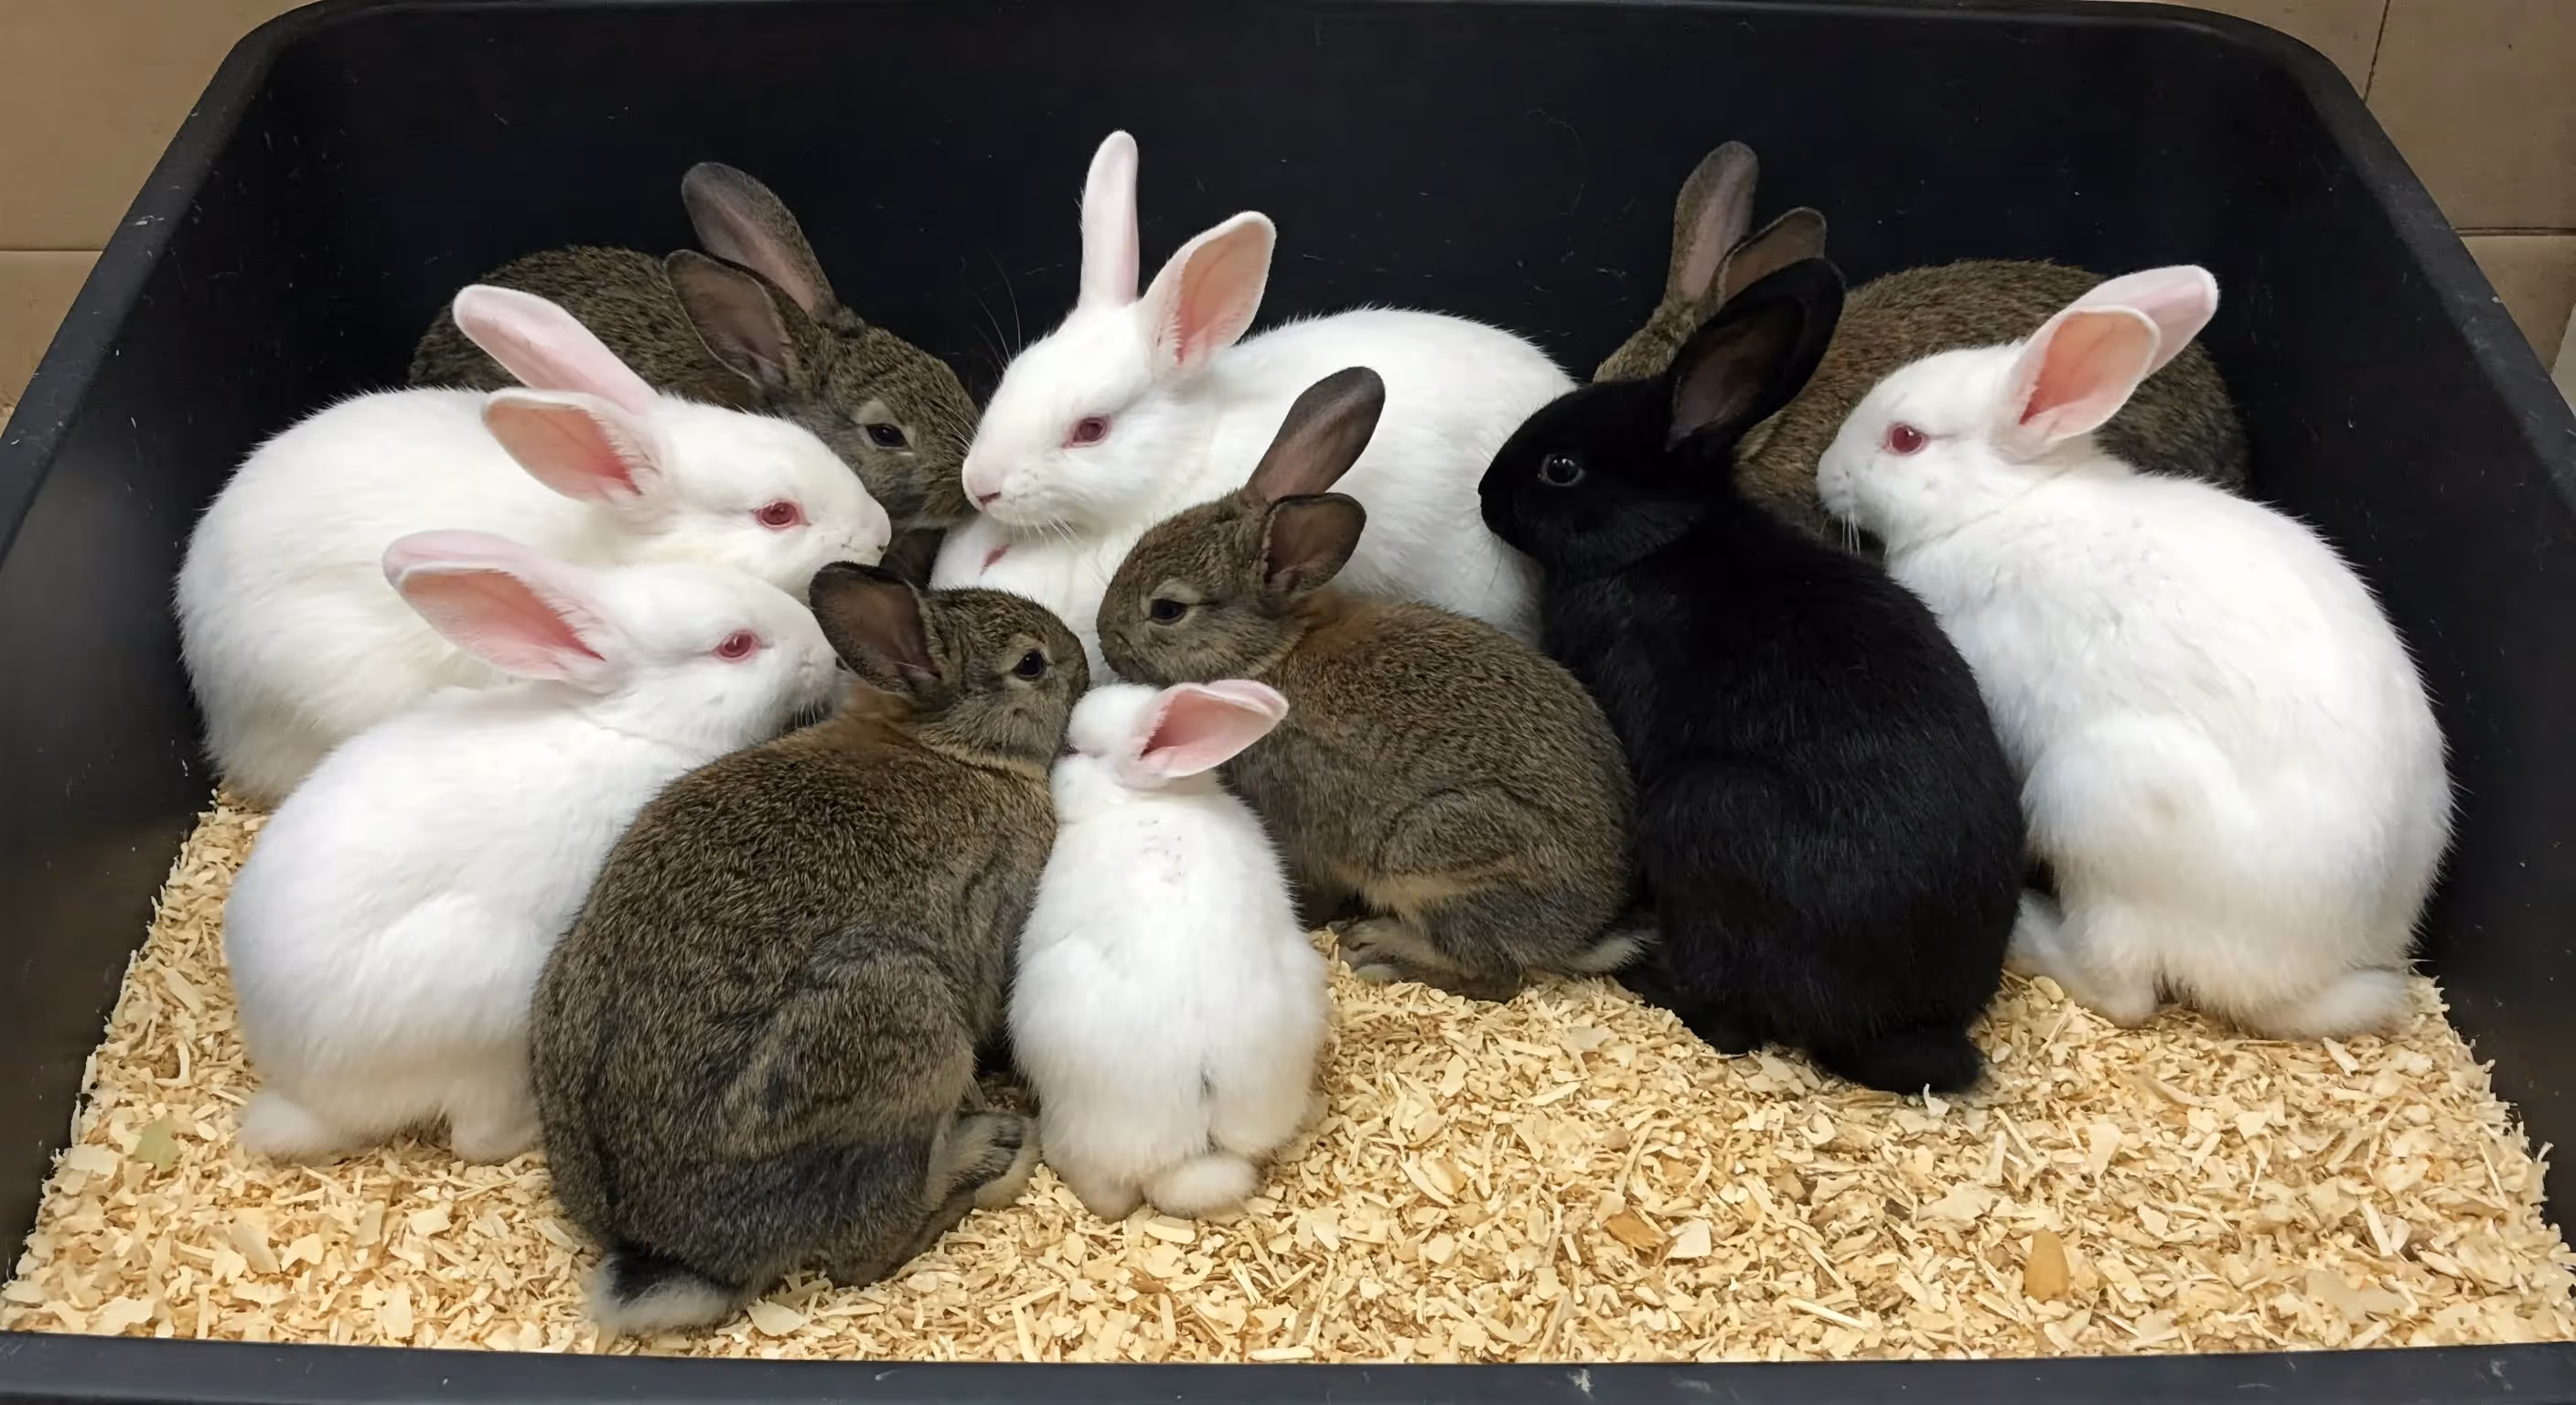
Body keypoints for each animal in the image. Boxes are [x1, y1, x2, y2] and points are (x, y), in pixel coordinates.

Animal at [224, 532, 839, 1165]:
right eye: (735, 645)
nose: (825, 651)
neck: (632, 723)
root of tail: (309, 1095)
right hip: (491, 1019)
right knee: (476, 1138)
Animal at [529, 566, 1088, 1335]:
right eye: (1031, 665)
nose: (1084, 664)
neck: (949, 746)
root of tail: (686, 1257)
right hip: (904, 1029)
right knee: (869, 1248)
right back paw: (992, 1157)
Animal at [1096, 368, 1637, 1002]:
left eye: (1167, 610)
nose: (1104, 636)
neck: (1271, 653)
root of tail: (1587, 932)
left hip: (1434, 857)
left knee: (1496, 976)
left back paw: (1379, 950)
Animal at [1480, 258, 2022, 1094]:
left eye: (1559, 468)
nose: (1482, 494)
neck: (1658, 539)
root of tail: (1900, 1025)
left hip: (1697, 815)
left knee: (1734, 1023)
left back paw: (1647, 980)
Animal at [1815, 265, 2452, 1040]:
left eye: (1906, 439)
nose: (1825, 474)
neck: (1999, 506)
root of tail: (2312, 974)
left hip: (2091, 804)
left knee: (2122, 988)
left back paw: (2030, 928)